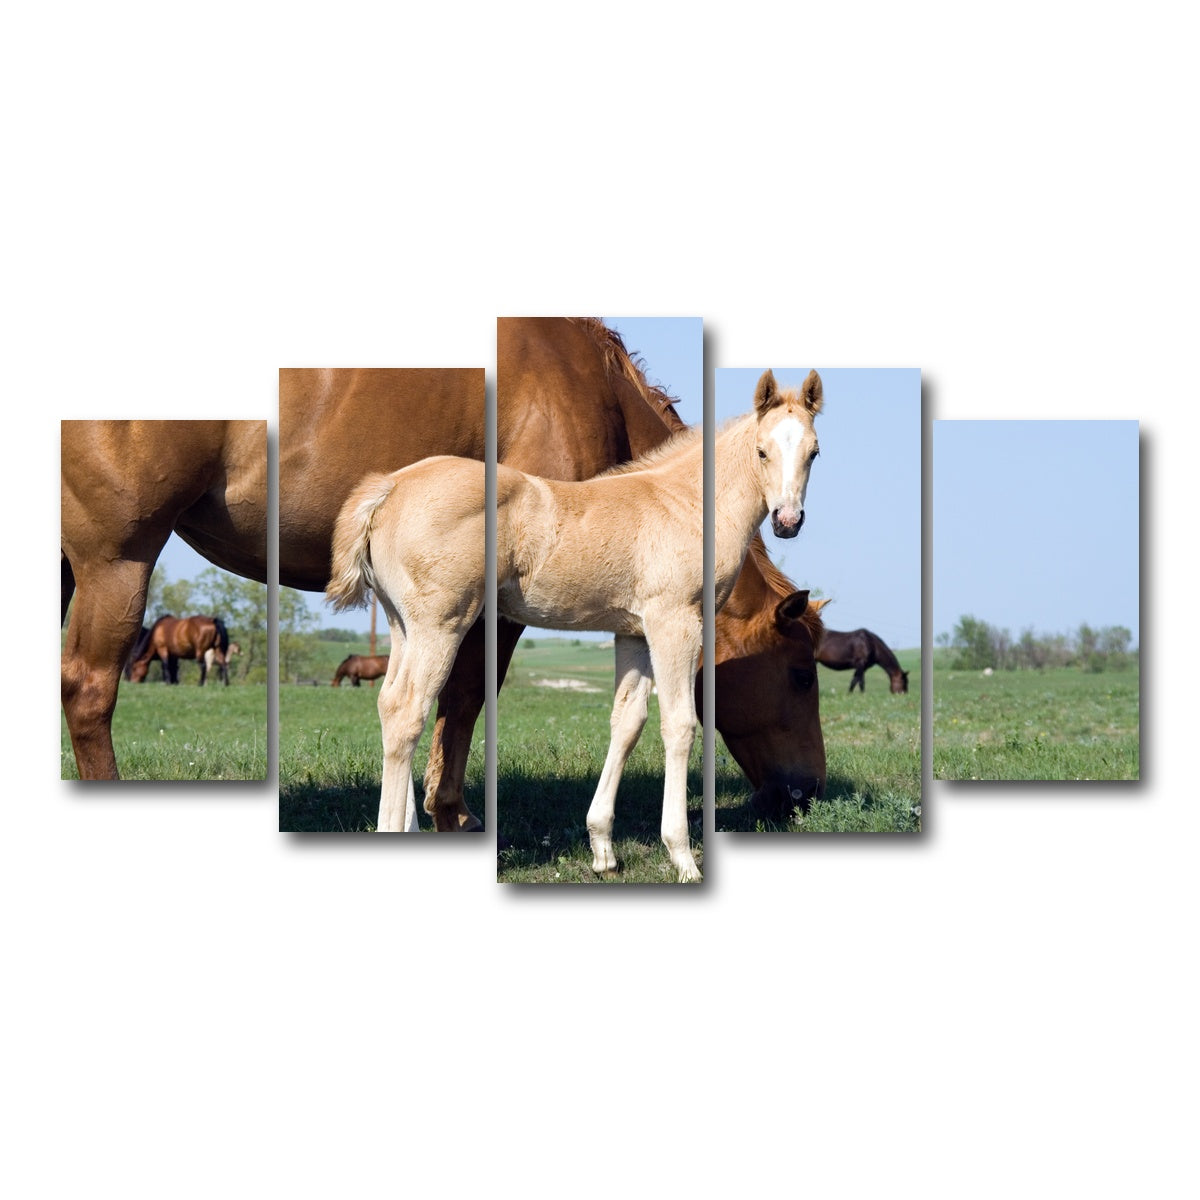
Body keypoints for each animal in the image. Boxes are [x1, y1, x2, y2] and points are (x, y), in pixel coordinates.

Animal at [326, 368, 822, 880]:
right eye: (761, 451)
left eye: (813, 452)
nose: (787, 521)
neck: (684, 504)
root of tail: (389, 487)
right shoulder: (675, 622)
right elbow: (680, 723)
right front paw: (682, 856)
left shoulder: (633, 632)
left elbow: (628, 721)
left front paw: (603, 850)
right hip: (439, 625)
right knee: (407, 711)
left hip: (402, 624)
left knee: (389, 704)